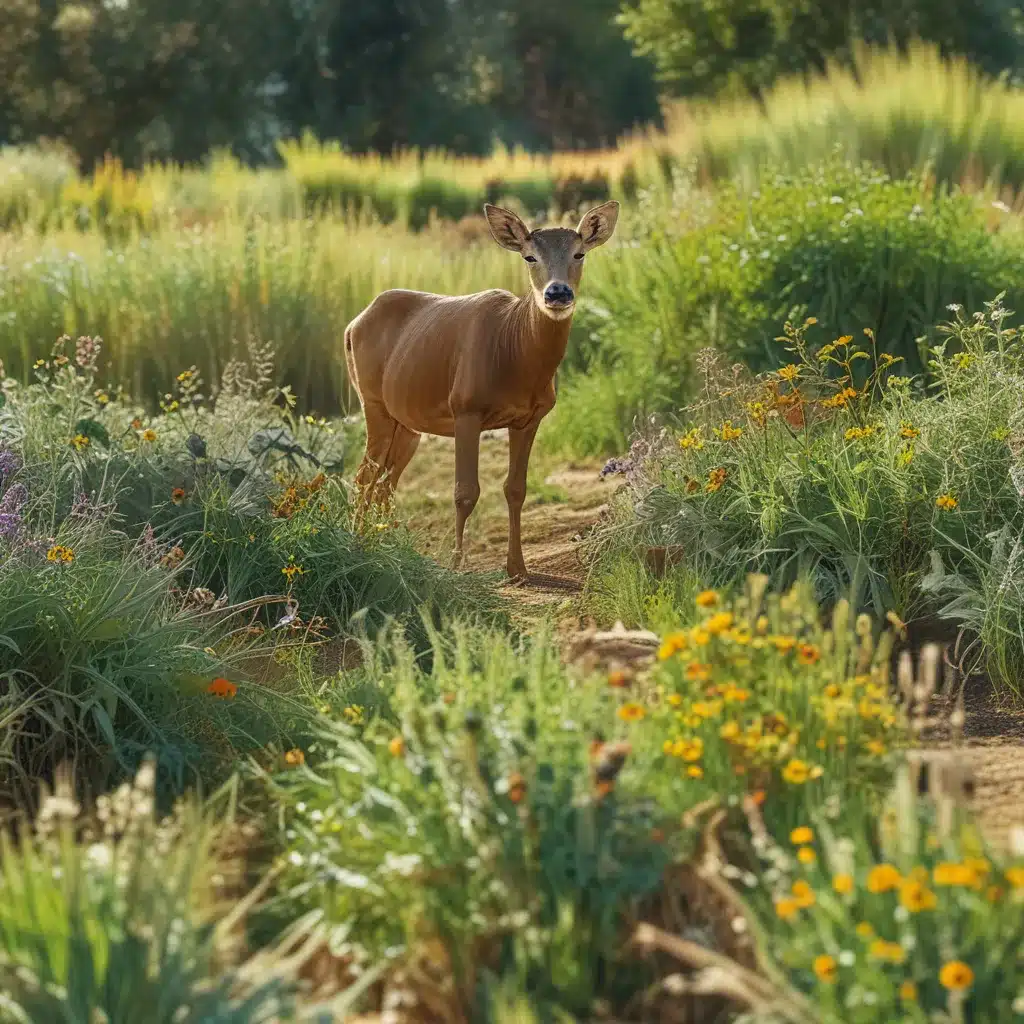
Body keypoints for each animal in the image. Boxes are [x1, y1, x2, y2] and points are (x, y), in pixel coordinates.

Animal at [344, 200, 618, 585]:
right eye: (529, 256)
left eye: (579, 253)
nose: (557, 292)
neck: (514, 350)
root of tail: (352, 325)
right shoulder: (466, 407)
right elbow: (464, 491)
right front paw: (456, 566)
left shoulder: (529, 418)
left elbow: (515, 489)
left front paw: (517, 569)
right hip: (373, 403)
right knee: (363, 477)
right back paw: (359, 544)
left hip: (407, 424)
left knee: (385, 481)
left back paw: (386, 545)